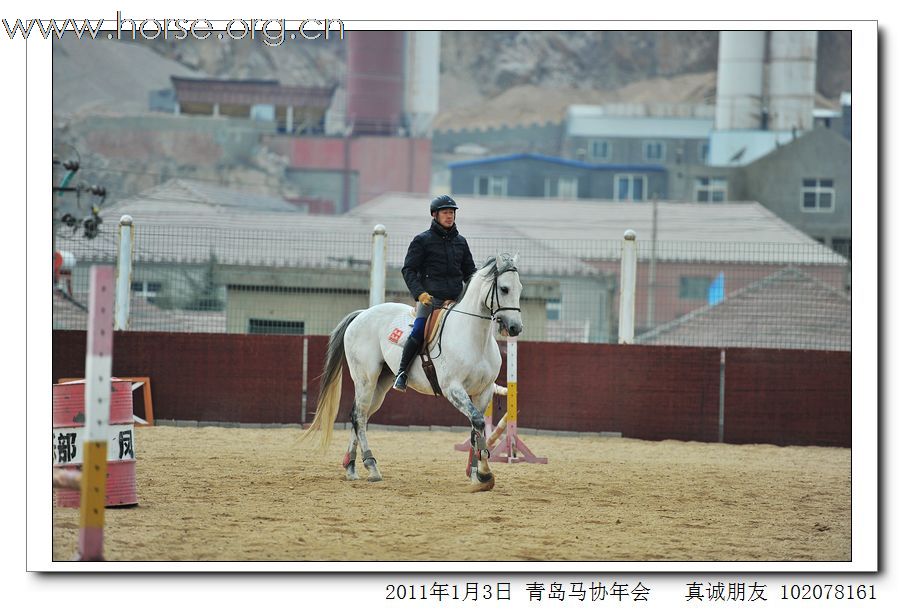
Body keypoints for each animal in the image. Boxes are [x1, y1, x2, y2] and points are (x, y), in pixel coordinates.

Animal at [300, 253, 520, 492]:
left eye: (520, 288)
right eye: (504, 289)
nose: (515, 328)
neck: (473, 337)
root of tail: (362, 314)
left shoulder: (484, 391)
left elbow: (475, 429)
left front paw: (475, 475)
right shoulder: (453, 388)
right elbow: (478, 422)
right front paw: (485, 474)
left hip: (381, 385)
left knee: (361, 416)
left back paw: (350, 467)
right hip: (366, 379)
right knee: (358, 416)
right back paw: (371, 467)